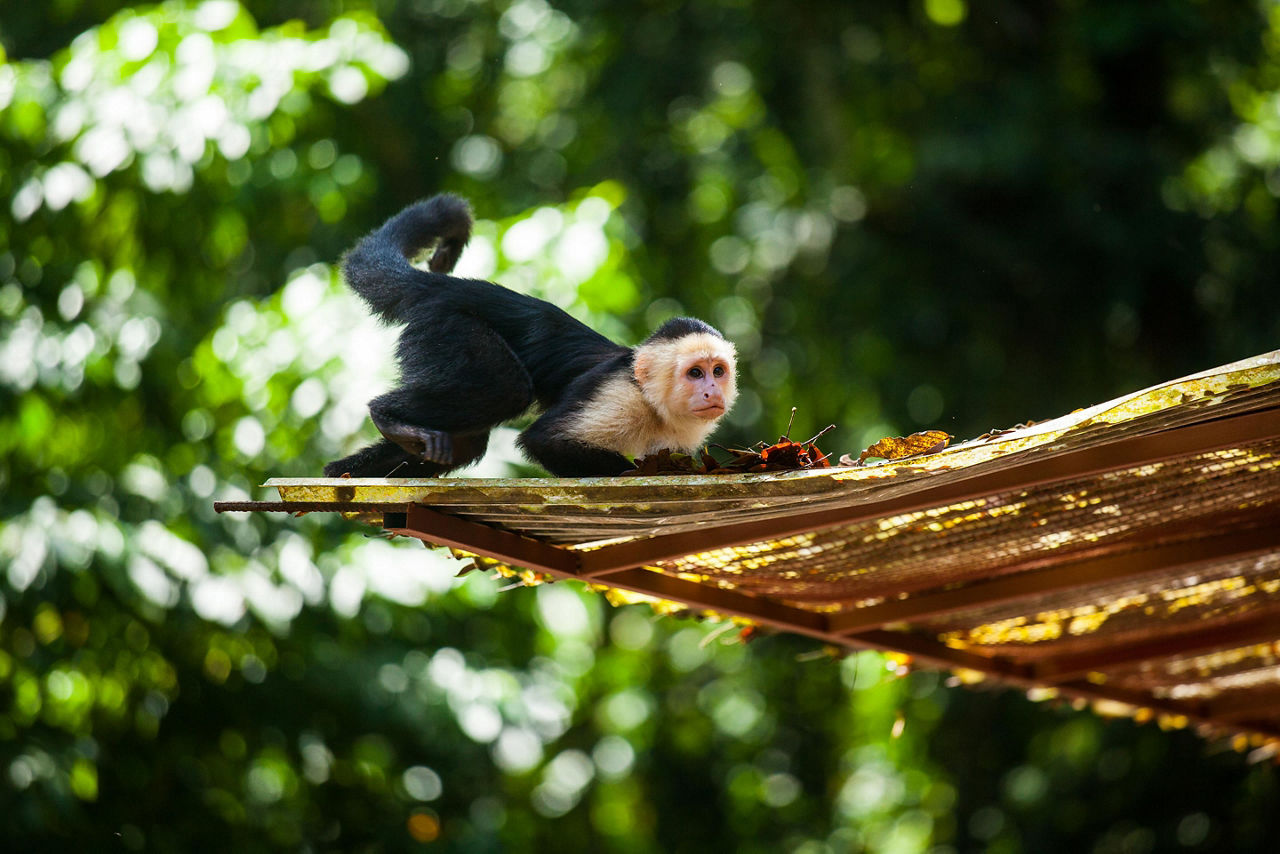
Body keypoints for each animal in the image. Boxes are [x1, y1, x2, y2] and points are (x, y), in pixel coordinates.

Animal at [322, 195, 742, 481]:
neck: (654, 405)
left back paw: (340, 471)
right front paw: (639, 472)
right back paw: (385, 414)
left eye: (717, 371)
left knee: (464, 442)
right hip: (446, 327)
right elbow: (543, 440)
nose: (711, 391)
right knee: (504, 390)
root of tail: (446, 287)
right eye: (694, 373)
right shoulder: (619, 395)